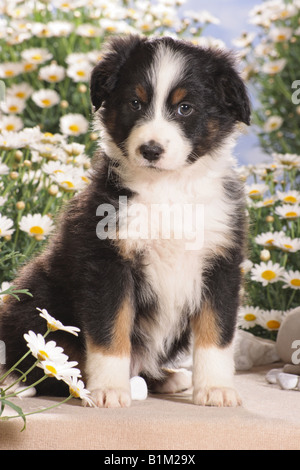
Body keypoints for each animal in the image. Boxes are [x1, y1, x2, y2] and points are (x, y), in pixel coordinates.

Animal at [0, 34, 251, 408]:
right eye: (135, 103)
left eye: (185, 108)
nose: (151, 150)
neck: (167, 188)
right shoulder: (107, 263)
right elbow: (110, 331)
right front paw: (109, 391)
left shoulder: (221, 262)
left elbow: (217, 334)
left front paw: (216, 389)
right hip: (35, 296)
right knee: (41, 355)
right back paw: (18, 380)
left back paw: (168, 378)